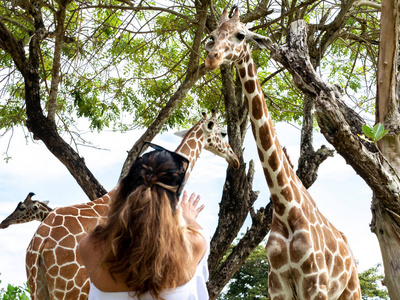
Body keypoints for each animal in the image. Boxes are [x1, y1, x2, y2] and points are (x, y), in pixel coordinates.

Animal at [206, 8, 362, 298]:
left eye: (240, 34)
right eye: (212, 35)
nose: (213, 58)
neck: (285, 207)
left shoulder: (314, 284)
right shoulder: (277, 284)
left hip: (350, 290)